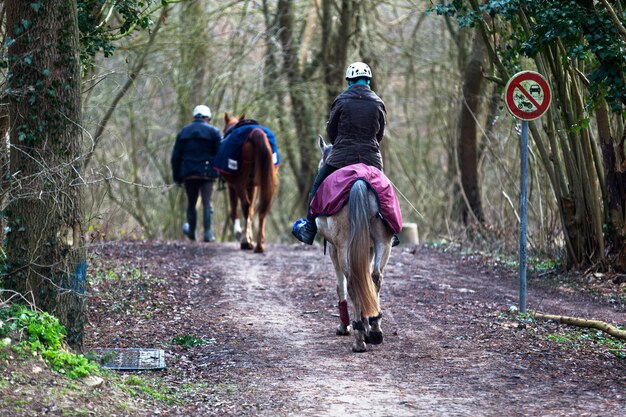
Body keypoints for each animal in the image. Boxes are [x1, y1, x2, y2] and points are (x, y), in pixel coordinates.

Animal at [221, 112, 276, 252]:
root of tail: (254, 132)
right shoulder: (253, 186)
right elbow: (251, 211)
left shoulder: (233, 186)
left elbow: (235, 209)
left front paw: (241, 235)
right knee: (261, 209)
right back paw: (259, 245)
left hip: (240, 184)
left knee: (245, 206)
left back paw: (246, 242)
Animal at [314, 137, 392, 352]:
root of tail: (360, 181)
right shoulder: (369, 248)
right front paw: (367, 323)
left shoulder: (334, 249)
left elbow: (340, 285)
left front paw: (345, 326)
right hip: (383, 243)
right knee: (375, 277)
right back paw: (374, 330)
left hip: (343, 248)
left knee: (353, 281)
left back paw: (359, 338)